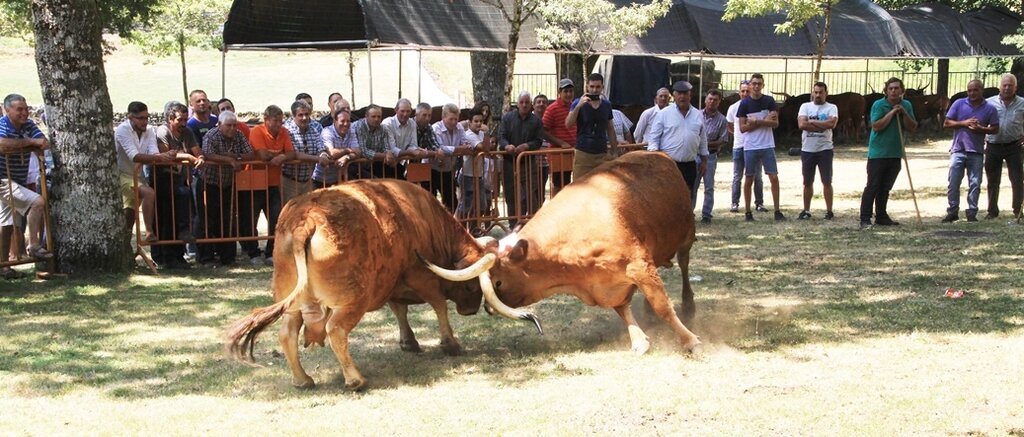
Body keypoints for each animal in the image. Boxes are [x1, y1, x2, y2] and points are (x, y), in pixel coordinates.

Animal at [225, 180, 540, 390]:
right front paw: (450, 343)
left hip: (292, 303)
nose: (471, 310)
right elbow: (438, 305)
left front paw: (409, 341)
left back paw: (303, 380)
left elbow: (400, 310)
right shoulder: (420, 275)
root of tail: (308, 218)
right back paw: (355, 380)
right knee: (335, 330)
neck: (424, 220)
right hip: (352, 301)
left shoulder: (393, 283)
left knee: (287, 334)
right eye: (472, 287)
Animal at [419, 150, 700, 356]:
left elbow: (663, 305)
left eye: (498, 281)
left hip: (687, 235)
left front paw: (690, 341)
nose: (487, 309)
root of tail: (658, 154)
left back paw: (689, 304)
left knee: (685, 264)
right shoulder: (608, 285)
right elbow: (623, 309)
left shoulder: (639, 266)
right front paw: (639, 340)